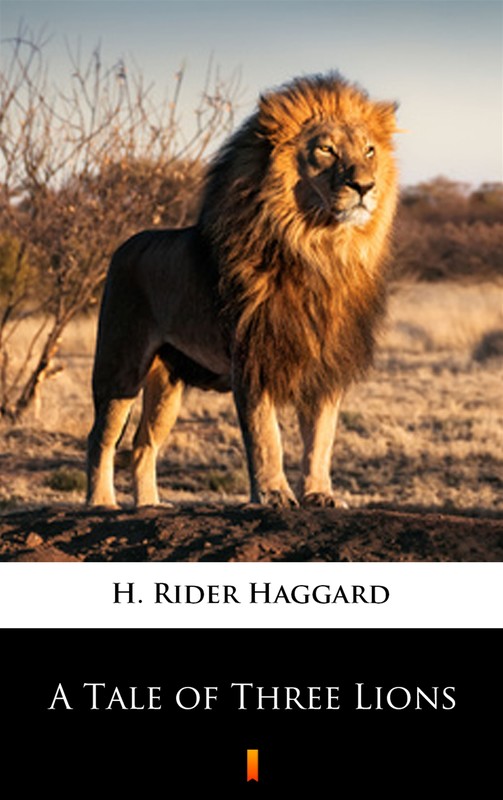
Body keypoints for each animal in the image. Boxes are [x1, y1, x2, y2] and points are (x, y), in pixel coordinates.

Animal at [86, 72, 399, 509]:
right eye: (326, 149)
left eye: (369, 150)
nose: (365, 186)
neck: (319, 250)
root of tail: (125, 245)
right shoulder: (252, 356)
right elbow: (266, 436)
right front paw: (273, 495)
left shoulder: (325, 363)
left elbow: (321, 438)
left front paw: (320, 494)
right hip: (121, 366)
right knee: (101, 437)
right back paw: (101, 502)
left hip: (167, 383)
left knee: (143, 444)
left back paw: (149, 505)